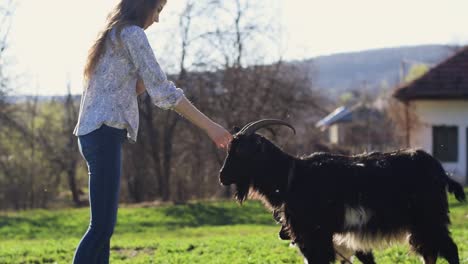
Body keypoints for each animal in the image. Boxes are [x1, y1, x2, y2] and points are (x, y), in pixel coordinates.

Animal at [218, 119, 464, 264]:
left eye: (241, 151)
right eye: (229, 149)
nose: (222, 177)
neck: (292, 176)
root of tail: (439, 169)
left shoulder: (315, 235)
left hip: (430, 218)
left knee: (449, 249)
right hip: (421, 224)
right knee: (430, 252)